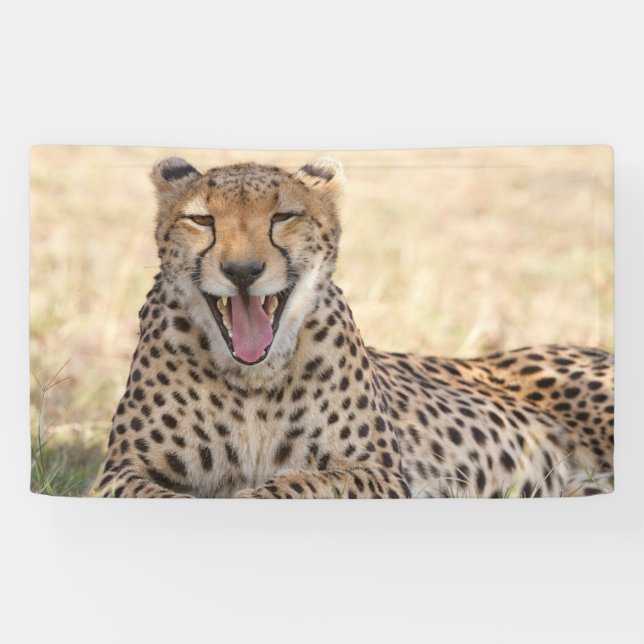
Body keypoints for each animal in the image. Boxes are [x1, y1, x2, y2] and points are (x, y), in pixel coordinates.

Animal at [92, 155, 614, 499]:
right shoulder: (119, 473)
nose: (243, 271)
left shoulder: (380, 475)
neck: (253, 381)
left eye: (284, 216)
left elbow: (292, 487)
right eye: (202, 219)